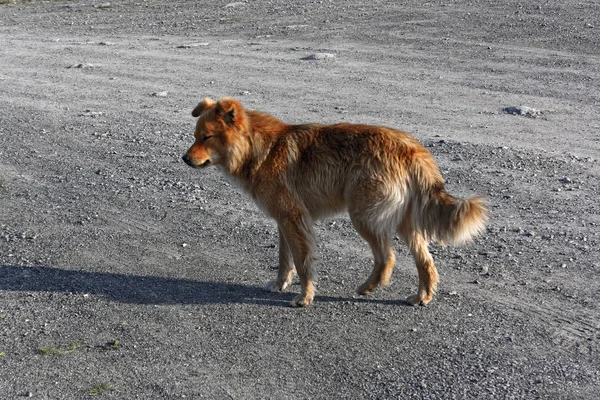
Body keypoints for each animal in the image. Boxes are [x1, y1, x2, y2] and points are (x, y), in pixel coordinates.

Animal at [183, 98, 488, 308]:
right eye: (196, 136)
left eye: (207, 137)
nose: (184, 159)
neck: (259, 148)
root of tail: (410, 148)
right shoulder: (284, 220)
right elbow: (284, 259)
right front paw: (280, 284)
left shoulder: (294, 219)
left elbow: (302, 262)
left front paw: (304, 297)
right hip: (403, 222)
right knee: (425, 261)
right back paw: (421, 296)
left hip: (364, 216)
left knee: (387, 257)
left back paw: (368, 287)